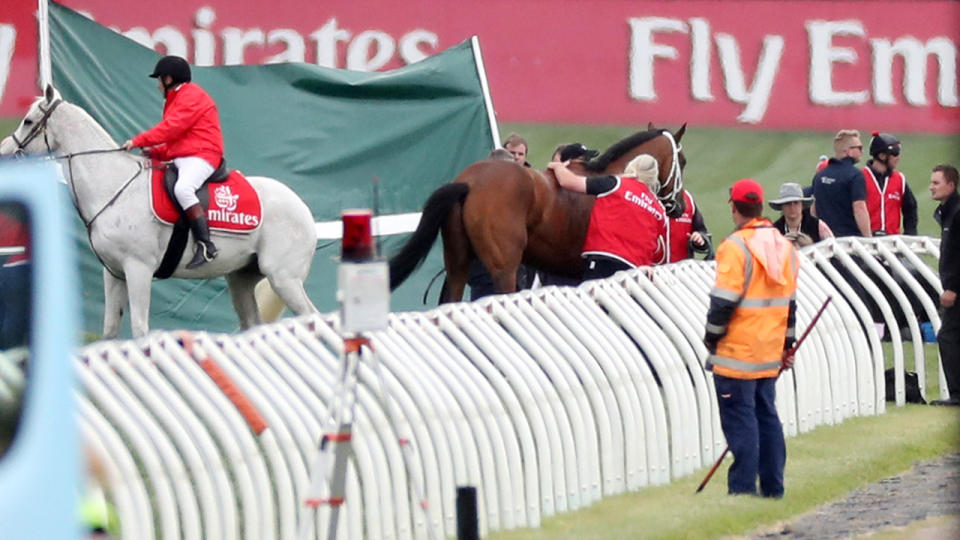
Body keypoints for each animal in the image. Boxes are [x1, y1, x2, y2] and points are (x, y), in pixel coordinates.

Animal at [0, 84, 322, 336]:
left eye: (28, 121)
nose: (5, 152)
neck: (114, 185)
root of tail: (303, 209)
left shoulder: (138, 269)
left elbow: (140, 329)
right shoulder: (114, 274)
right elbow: (110, 331)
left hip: (283, 278)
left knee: (313, 319)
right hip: (241, 279)